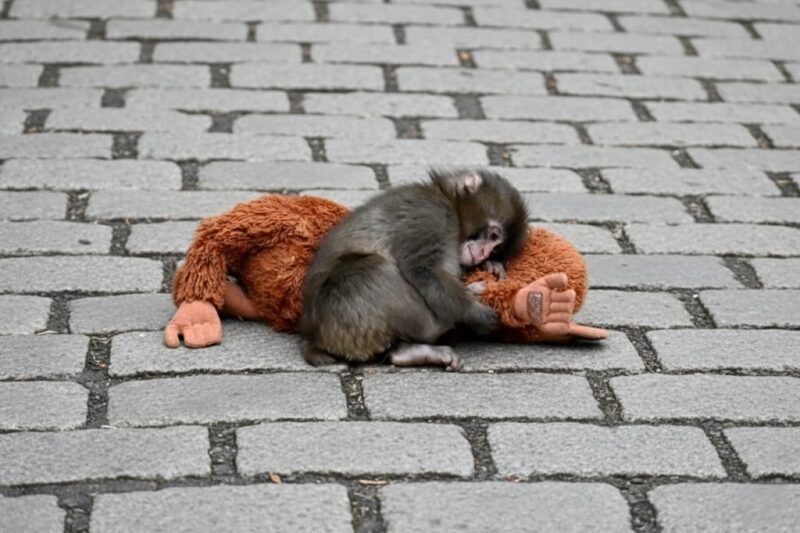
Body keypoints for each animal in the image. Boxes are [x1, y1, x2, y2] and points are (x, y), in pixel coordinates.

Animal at [298, 168, 529, 371]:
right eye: (493, 236)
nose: (483, 254)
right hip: (343, 313)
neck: (447, 200)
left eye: (496, 248)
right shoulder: (432, 215)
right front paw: (474, 312)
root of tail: (312, 336)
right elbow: (423, 269)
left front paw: (492, 266)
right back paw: (442, 324)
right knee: (375, 269)